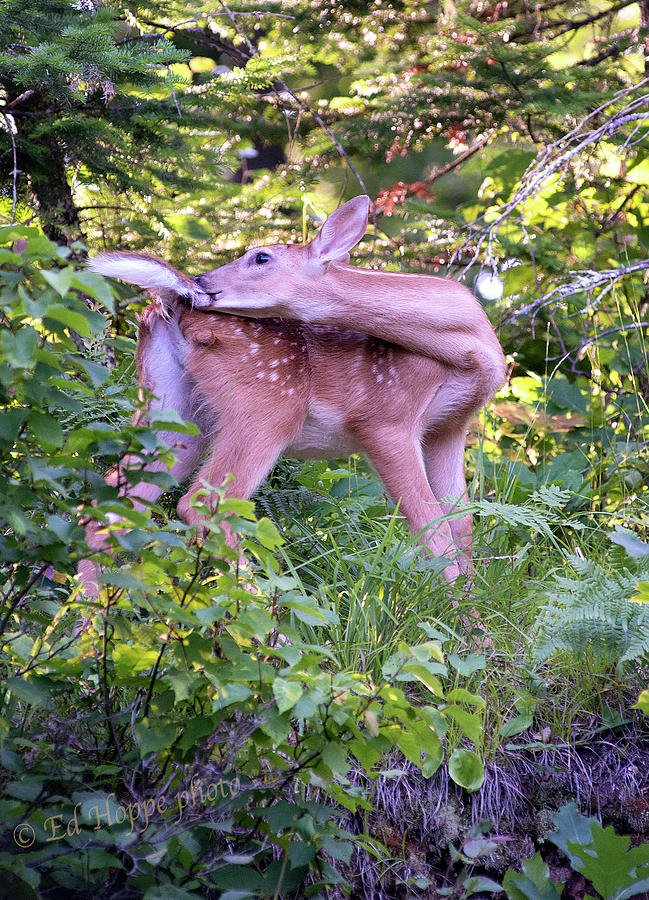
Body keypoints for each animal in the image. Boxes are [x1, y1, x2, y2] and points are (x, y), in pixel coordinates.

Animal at [78, 199, 506, 604]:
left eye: (261, 257)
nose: (199, 280)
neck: (468, 349)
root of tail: (169, 302)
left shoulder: (450, 426)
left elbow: (461, 520)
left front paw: (472, 610)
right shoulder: (385, 418)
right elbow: (429, 522)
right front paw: (461, 617)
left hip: (176, 414)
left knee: (104, 504)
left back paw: (84, 616)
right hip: (267, 405)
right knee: (202, 503)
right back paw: (268, 615)